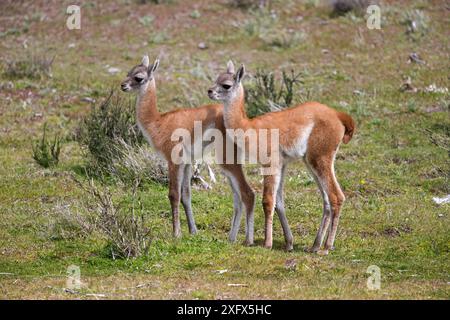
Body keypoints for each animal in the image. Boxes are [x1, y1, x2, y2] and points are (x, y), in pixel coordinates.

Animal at [121, 56, 255, 244]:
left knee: (248, 193)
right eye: (128, 72)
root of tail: (243, 119)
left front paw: (176, 233)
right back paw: (232, 238)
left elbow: (174, 194)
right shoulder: (187, 163)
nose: (123, 85)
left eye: (138, 77)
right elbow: (186, 195)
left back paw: (247, 240)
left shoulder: (173, 160)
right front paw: (193, 231)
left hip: (228, 160)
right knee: (238, 197)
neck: (158, 122)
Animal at [208, 61, 356, 254]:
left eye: (226, 85)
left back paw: (327, 247)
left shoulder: (271, 162)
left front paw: (267, 243)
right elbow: (279, 202)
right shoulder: (282, 164)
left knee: (336, 197)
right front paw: (289, 243)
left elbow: (268, 201)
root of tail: (338, 115)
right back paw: (315, 245)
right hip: (311, 161)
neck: (250, 128)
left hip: (320, 157)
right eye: (216, 78)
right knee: (326, 201)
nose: (209, 91)